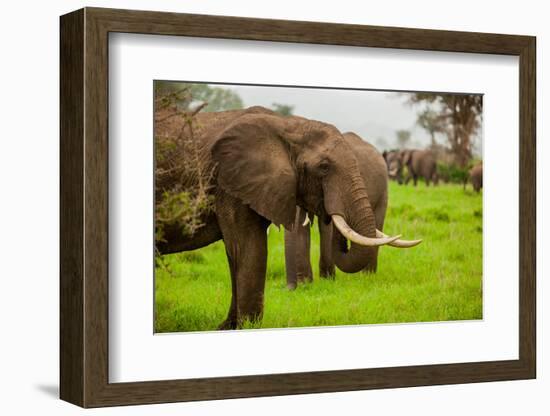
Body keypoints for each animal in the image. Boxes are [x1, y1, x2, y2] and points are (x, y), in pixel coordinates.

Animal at [284, 133, 422, 290]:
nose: (289, 288)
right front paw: (305, 284)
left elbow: (326, 228)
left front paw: (327, 280)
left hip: (383, 190)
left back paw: (368, 276)